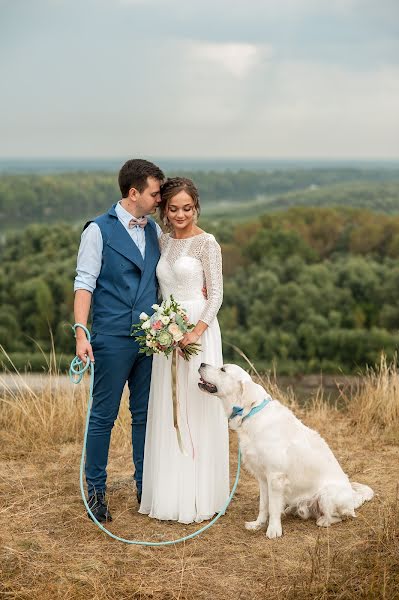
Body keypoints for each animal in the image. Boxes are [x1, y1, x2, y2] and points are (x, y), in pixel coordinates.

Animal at [200, 364, 376, 540]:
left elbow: (272, 506)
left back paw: (323, 521)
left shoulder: (275, 477)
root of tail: (353, 498)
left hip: (327, 495)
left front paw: (273, 530)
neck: (252, 413)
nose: (201, 364)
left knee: (343, 516)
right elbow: (264, 505)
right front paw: (258, 524)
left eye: (223, 369)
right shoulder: (263, 478)